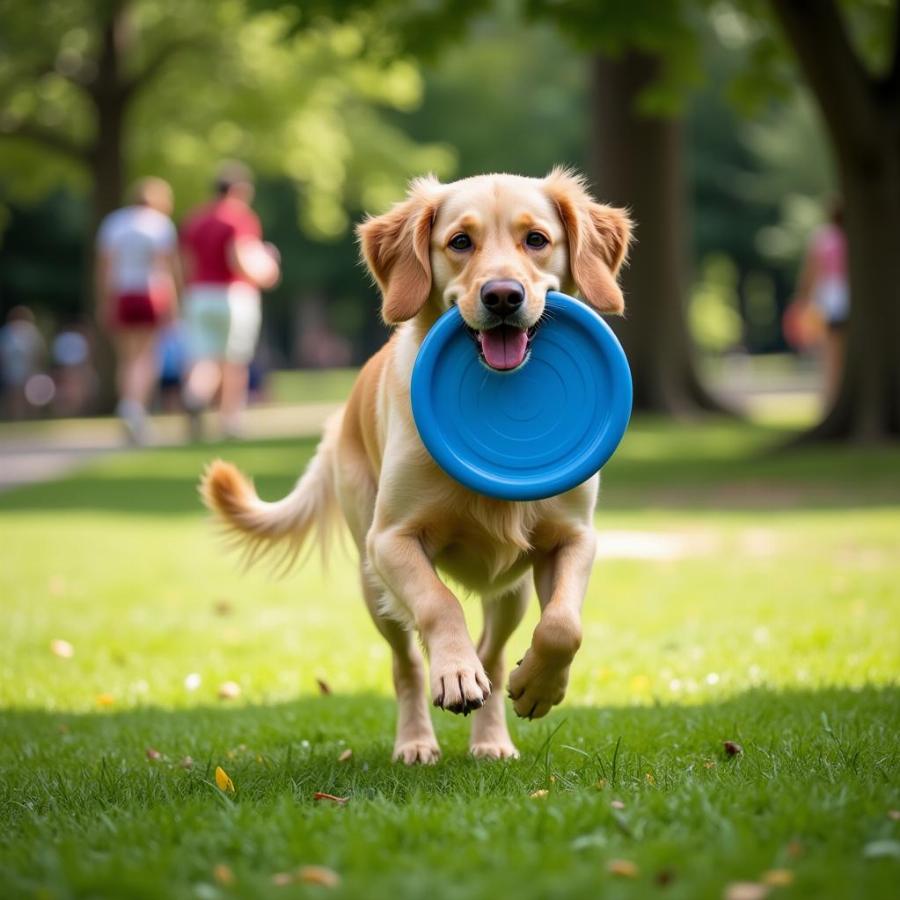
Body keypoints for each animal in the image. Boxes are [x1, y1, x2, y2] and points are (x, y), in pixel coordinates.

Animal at [202, 167, 632, 760]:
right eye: (460, 242)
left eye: (536, 239)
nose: (503, 296)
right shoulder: (391, 540)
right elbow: (439, 604)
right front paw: (455, 673)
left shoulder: (572, 538)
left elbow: (564, 625)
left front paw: (540, 686)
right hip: (373, 582)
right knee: (406, 663)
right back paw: (416, 740)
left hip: (511, 591)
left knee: (495, 652)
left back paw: (492, 737)